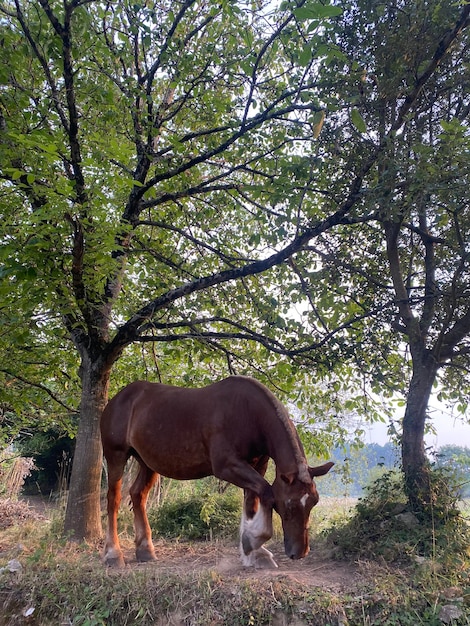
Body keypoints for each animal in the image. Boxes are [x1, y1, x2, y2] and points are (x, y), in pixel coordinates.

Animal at [100, 372, 332, 568]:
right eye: (288, 505)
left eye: (313, 502)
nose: (299, 552)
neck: (247, 412)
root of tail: (118, 398)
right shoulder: (227, 466)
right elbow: (266, 492)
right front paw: (253, 543)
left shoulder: (258, 465)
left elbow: (252, 503)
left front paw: (254, 553)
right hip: (116, 456)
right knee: (114, 499)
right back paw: (113, 554)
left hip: (148, 463)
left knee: (138, 495)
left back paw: (145, 550)